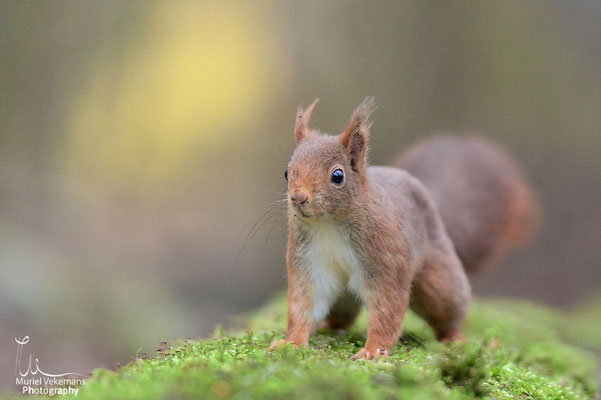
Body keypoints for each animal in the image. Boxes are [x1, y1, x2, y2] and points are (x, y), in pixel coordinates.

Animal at [270, 97, 536, 360]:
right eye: (286, 172)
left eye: (337, 175)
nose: (298, 198)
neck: (329, 225)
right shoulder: (308, 260)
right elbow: (304, 303)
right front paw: (291, 342)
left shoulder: (385, 255)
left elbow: (387, 307)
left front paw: (372, 351)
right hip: (343, 296)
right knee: (342, 317)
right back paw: (327, 328)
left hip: (439, 283)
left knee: (449, 311)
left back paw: (457, 339)